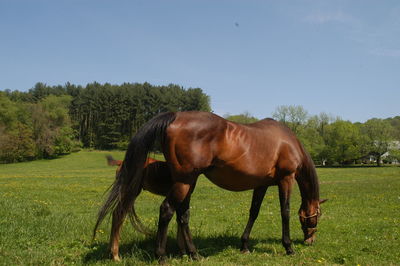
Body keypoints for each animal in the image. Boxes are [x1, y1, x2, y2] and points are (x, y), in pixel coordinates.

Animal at [94, 110, 328, 262]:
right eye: (316, 215)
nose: (311, 240)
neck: (287, 141)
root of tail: (175, 116)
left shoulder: (261, 185)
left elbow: (253, 212)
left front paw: (244, 245)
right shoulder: (286, 179)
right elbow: (285, 212)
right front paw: (288, 247)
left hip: (187, 182)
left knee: (182, 215)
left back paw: (193, 254)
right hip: (183, 182)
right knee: (167, 210)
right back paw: (161, 256)